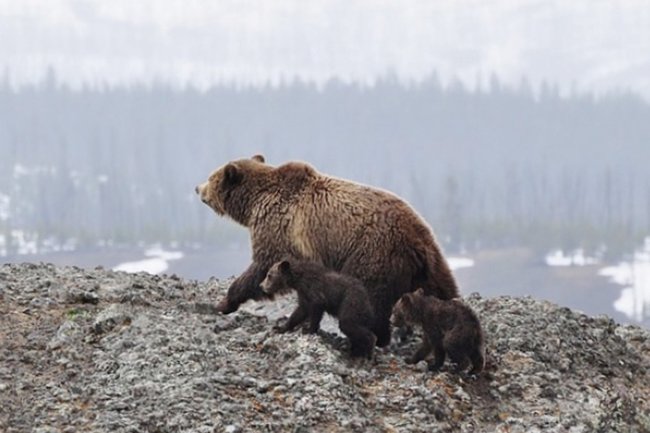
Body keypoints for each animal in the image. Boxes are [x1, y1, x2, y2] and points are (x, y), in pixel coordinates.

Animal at [195, 154, 459, 347]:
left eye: (211, 177)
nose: (197, 187)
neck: (254, 203)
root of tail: (418, 240)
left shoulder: (278, 227)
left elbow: (262, 266)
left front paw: (224, 302)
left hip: (373, 254)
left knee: (371, 299)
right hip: (430, 263)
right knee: (443, 290)